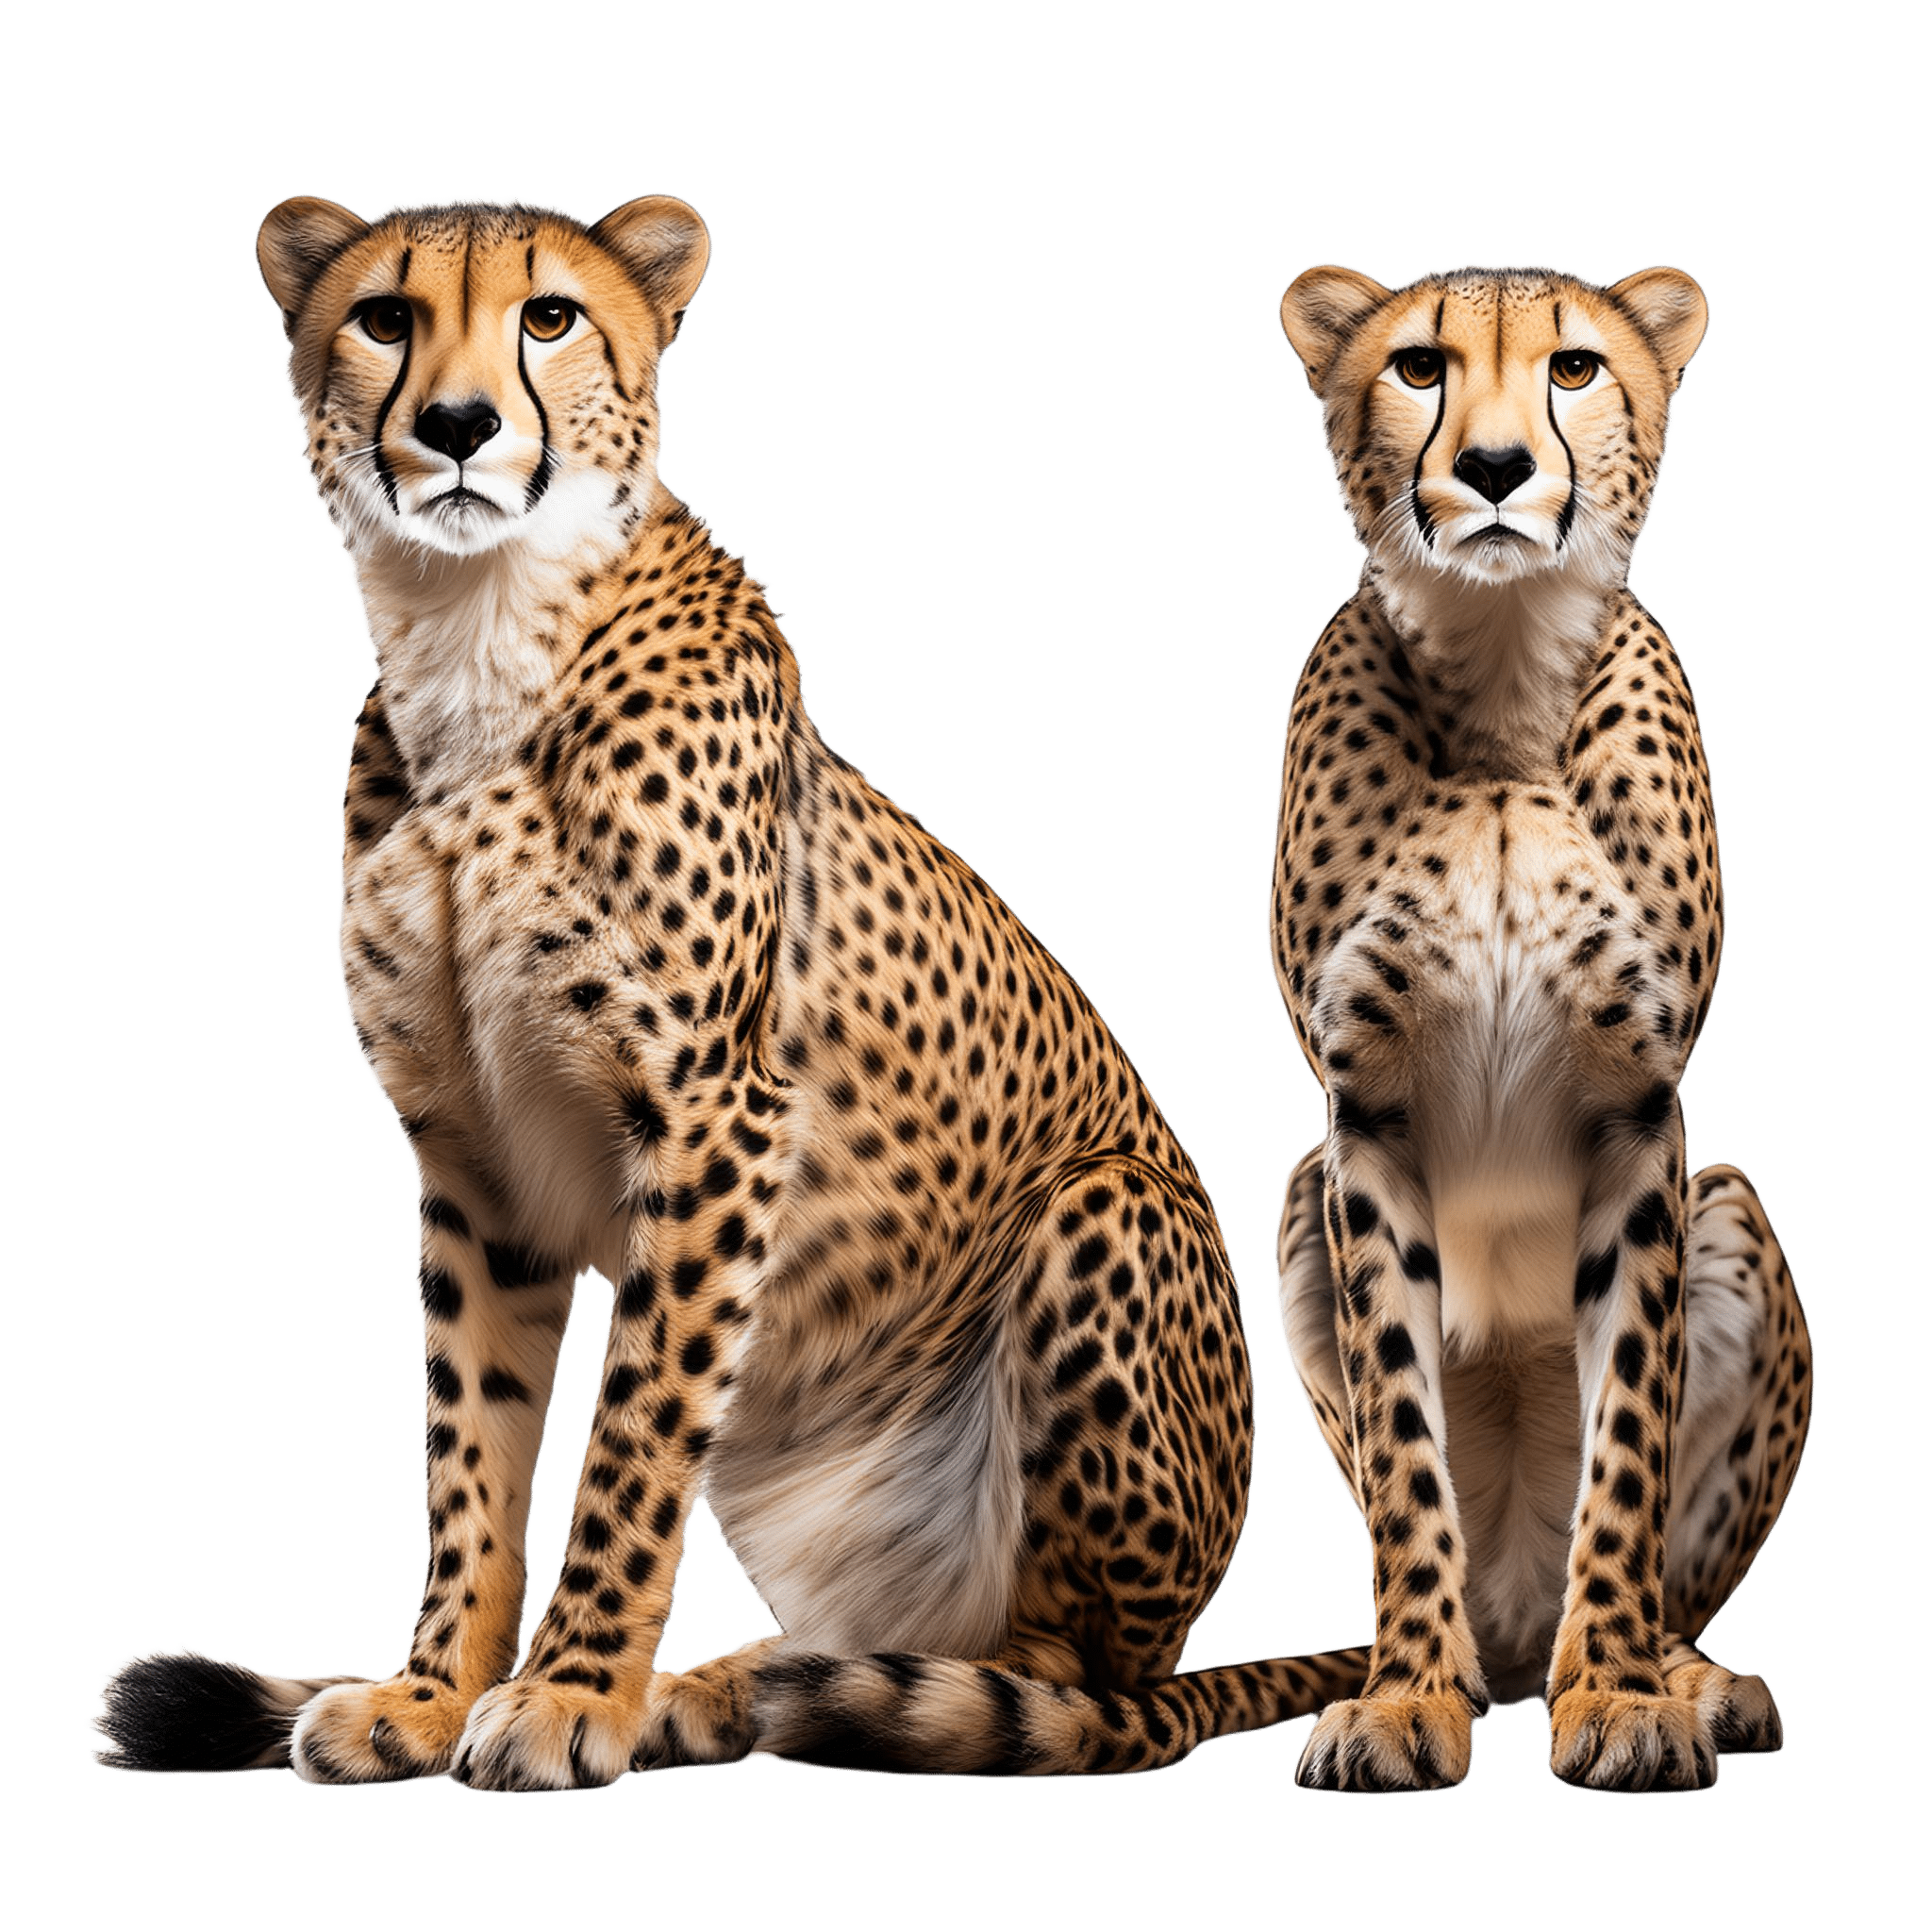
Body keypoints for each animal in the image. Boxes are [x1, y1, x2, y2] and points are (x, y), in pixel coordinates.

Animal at [91, 194, 1369, 1792]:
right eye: (385, 316)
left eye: (551, 316)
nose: (456, 426)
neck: (476, 637)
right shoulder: (470, 1162)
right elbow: (471, 1452)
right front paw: (431, 1691)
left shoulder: (714, 1120)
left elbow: (633, 1435)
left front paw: (568, 1696)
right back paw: (726, 1689)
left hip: (1105, 1215)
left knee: (1063, 1681)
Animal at [1268, 261, 1810, 1792]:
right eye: (1418, 365)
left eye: (1572, 365)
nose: (1498, 468)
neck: (1503, 692)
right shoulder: (1359, 1119)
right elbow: (1401, 1438)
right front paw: (1404, 1695)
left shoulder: (1644, 1114)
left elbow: (1628, 1427)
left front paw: (1619, 1695)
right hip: (1292, 1196)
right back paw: (1466, 1663)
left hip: (1735, 1205)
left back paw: (1683, 1674)